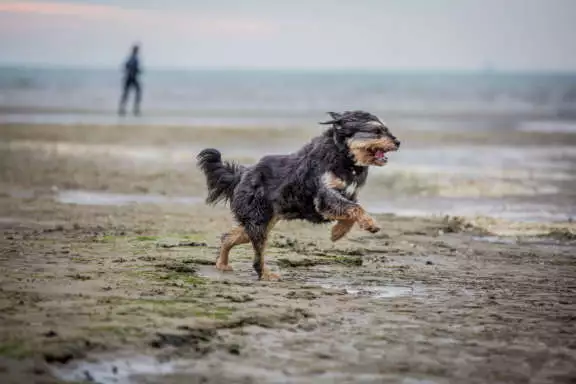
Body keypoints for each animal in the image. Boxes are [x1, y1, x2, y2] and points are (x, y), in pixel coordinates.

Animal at [198, 109, 400, 280]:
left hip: (260, 222)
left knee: (228, 237)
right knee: (258, 255)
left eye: (386, 129)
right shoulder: (325, 195)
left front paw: (337, 232)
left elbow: (350, 213)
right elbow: (355, 208)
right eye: (377, 131)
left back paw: (222, 263)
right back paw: (266, 274)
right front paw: (369, 224)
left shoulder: (347, 196)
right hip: (258, 221)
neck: (343, 157)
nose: (398, 142)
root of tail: (242, 174)